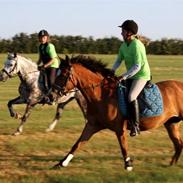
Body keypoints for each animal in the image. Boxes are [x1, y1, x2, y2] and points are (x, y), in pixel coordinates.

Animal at [51, 54, 183, 170]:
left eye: (63, 74)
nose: (51, 95)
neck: (102, 95)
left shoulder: (119, 128)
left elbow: (123, 145)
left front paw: (128, 165)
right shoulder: (92, 125)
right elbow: (78, 144)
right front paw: (61, 163)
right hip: (171, 123)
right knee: (179, 144)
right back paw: (171, 165)